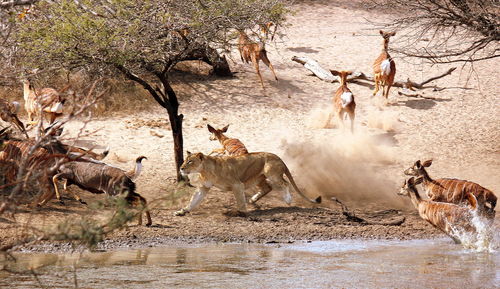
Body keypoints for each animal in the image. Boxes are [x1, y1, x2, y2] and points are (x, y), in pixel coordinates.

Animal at [174, 151, 320, 216]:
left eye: (190, 161)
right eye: (185, 160)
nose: (181, 168)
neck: (205, 171)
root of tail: (278, 157)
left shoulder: (237, 184)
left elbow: (239, 199)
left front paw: (242, 212)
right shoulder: (203, 187)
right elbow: (194, 200)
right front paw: (183, 211)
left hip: (270, 173)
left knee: (285, 184)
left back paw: (288, 199)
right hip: (258, 178)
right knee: (268, 187)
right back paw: (253, 199)